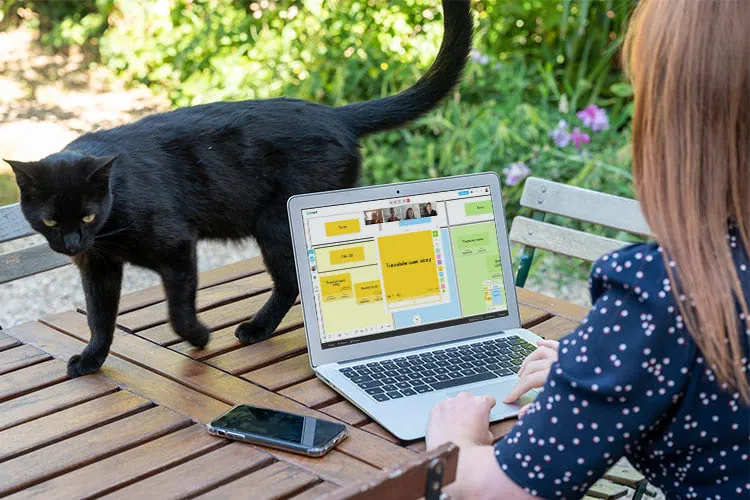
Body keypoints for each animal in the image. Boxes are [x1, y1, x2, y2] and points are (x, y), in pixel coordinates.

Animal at [5, 0, 472, 376]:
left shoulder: (178, 245)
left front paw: (198, 337)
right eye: (50, 221)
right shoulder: (98, 267)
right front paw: (91, 359)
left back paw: (255, 329)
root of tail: (335, 114)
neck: (110, 223)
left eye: (87, 214)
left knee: (290, 282)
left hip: (274, 223)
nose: (71, 242)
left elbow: (177, 310)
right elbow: (100, 318)